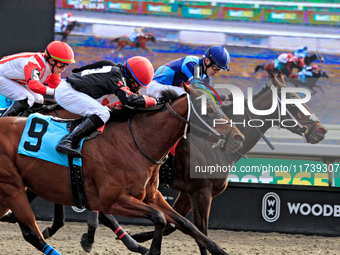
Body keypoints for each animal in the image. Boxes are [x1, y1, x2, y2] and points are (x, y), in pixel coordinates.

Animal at [0, 86, 244, 255]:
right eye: (209, 109)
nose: (237, 137)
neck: (136, 143)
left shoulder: (152, 196)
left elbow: (186, 224)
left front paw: (219, 250)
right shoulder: (114, 200)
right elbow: (160, 219)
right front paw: (151, 250)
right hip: (12, 187)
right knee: (33, 234)